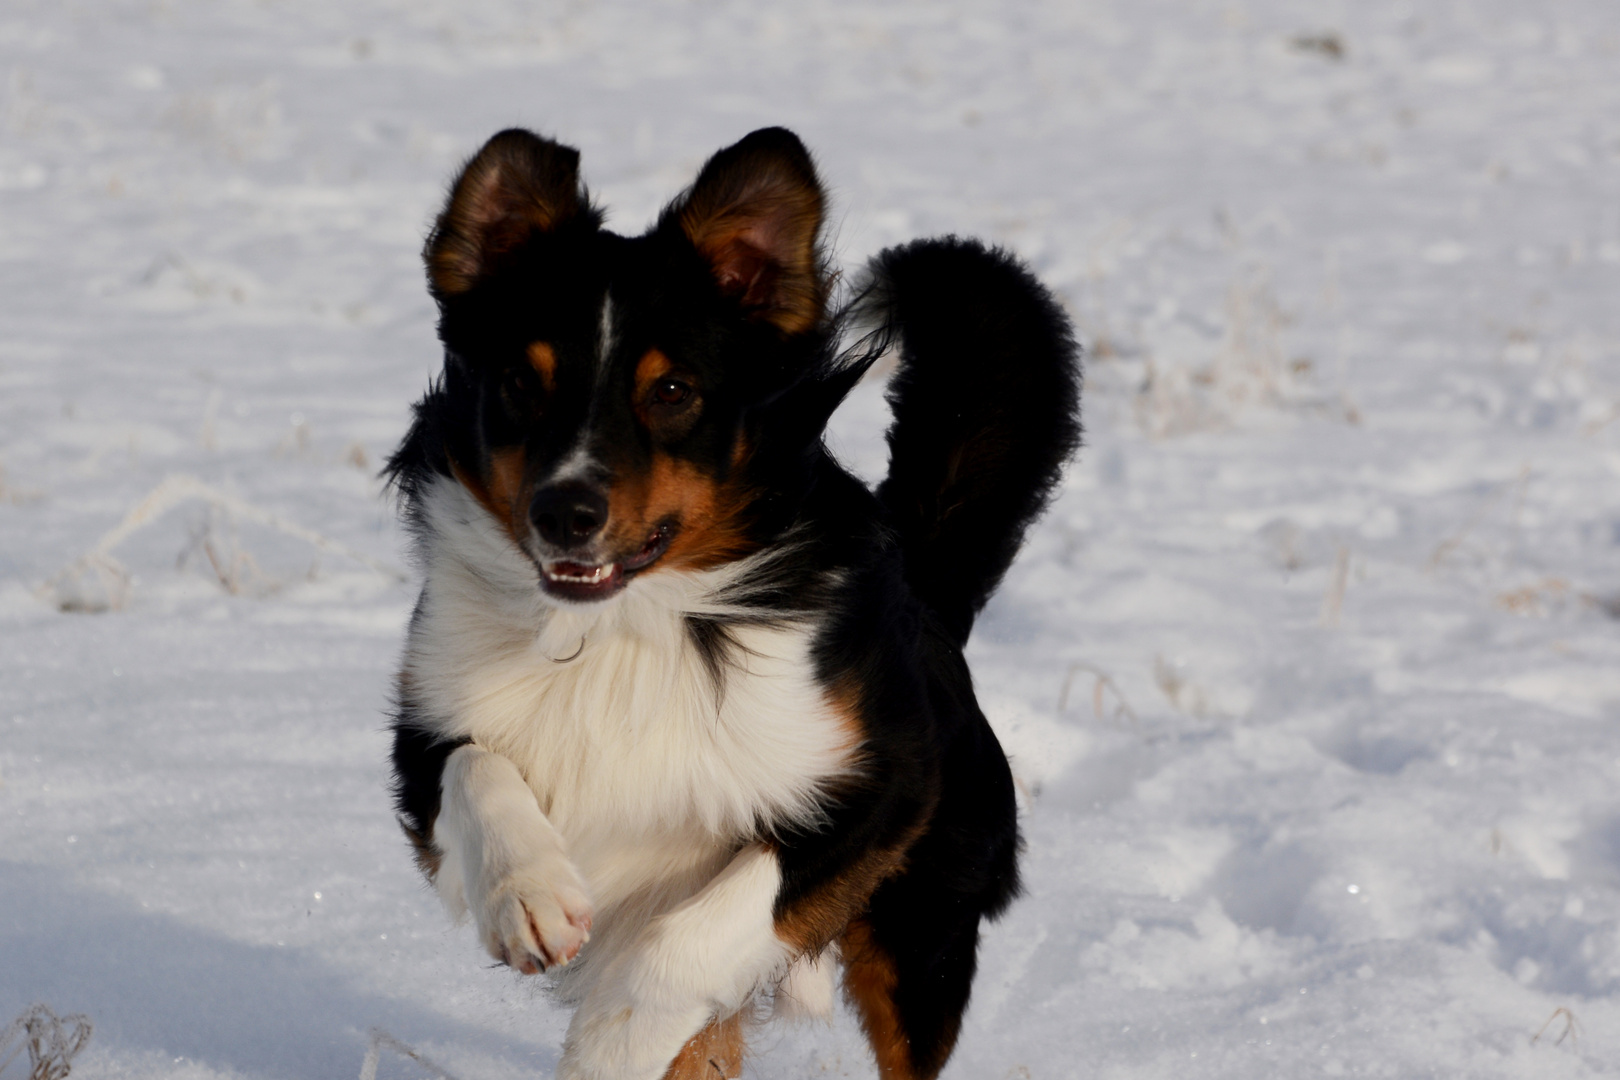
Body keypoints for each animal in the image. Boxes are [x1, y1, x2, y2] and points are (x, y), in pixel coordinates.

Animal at [385, 128, 1082, 1080]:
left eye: (673, 391)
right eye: (522, 383)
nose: (565, 512)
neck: (620, 629)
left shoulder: (885, 785)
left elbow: (702, 933)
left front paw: (612, 1035)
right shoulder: (425, 733)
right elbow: (476, 769)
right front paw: (529, 897)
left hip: (920, 937)